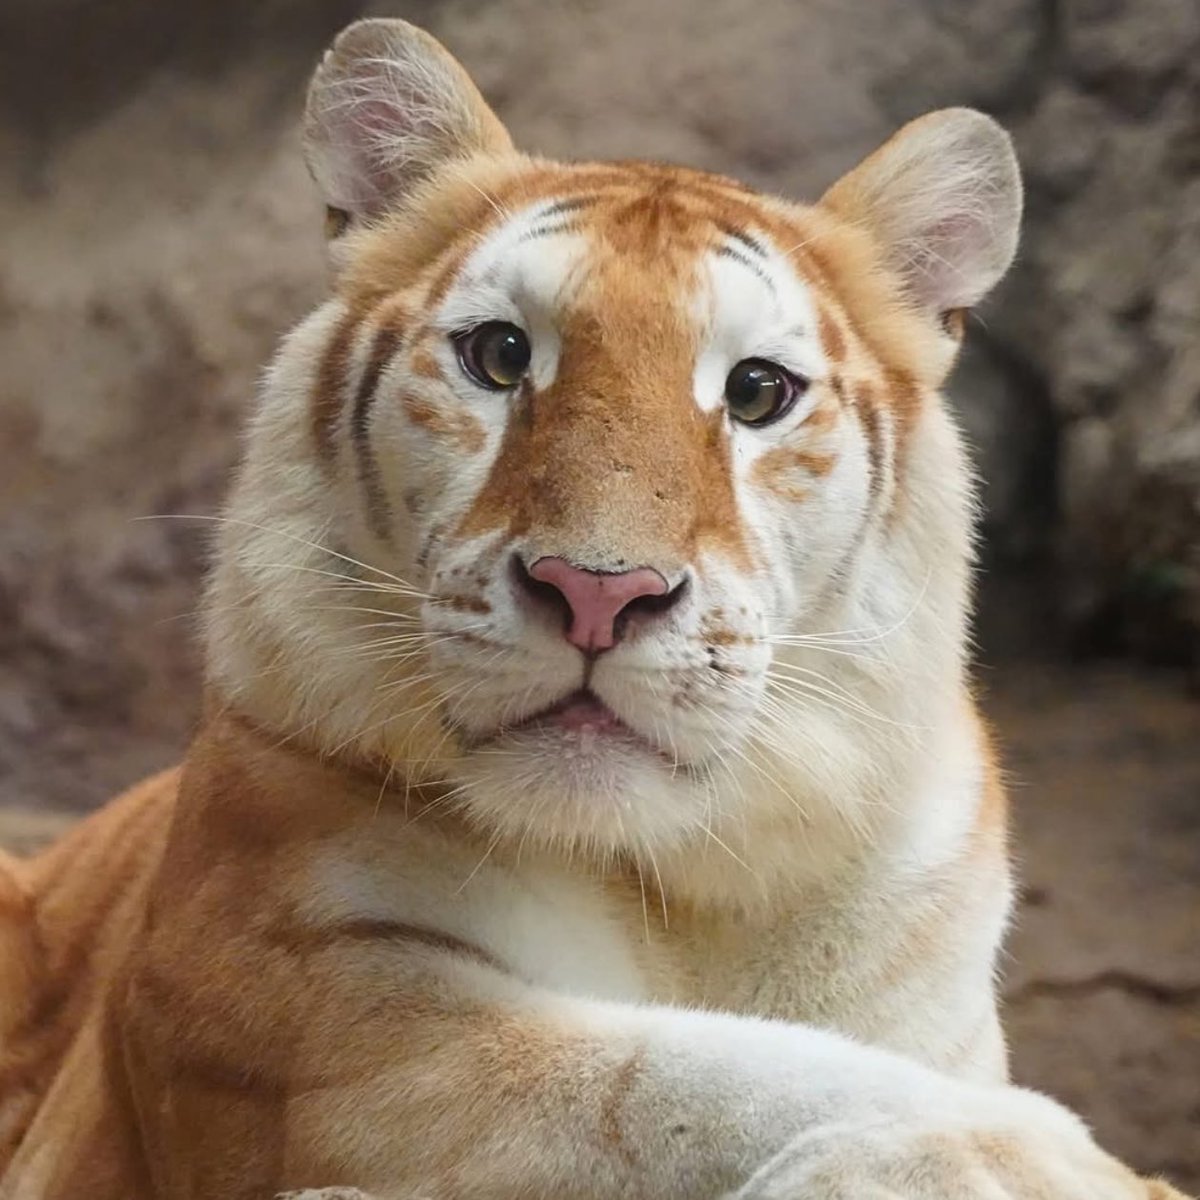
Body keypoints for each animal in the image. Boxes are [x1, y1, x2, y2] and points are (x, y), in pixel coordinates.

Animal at [0, 16, 1189, 1200]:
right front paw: (1033, 1153)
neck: (674, 880)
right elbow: (669, 1080)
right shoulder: (295, 1021)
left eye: (756, 392)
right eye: (499, 355)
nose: (598, 592)